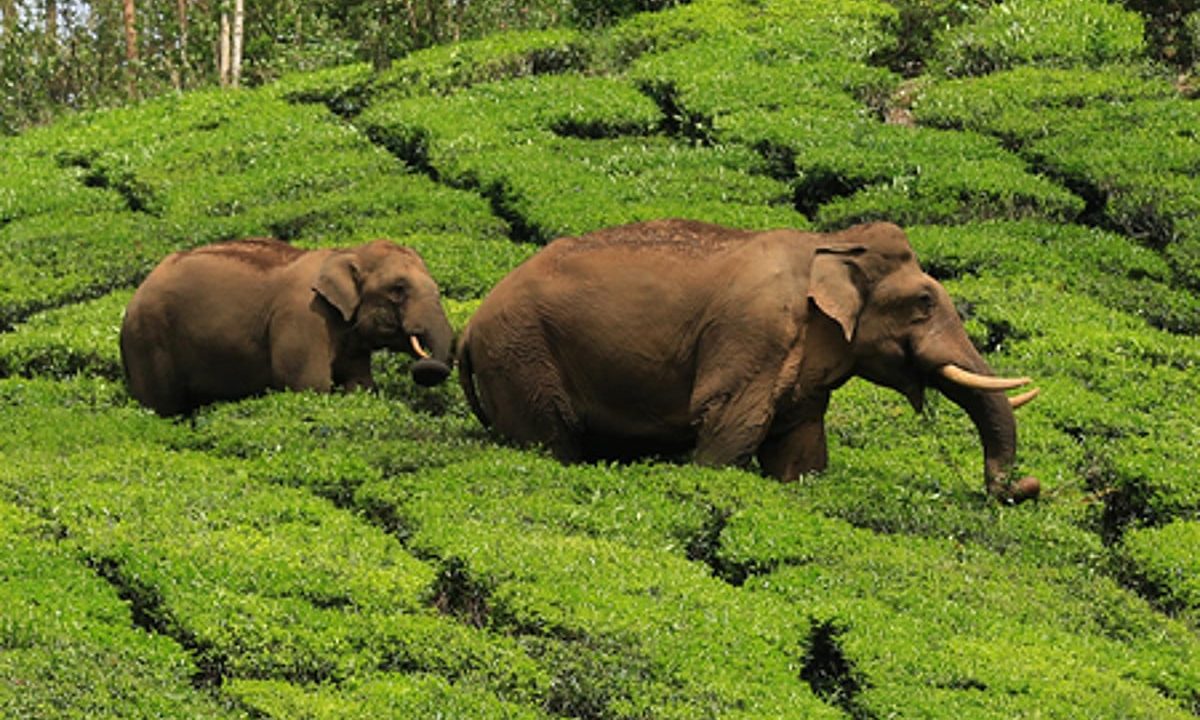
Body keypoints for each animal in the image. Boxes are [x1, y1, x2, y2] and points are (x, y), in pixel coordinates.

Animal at [121, 237, 455, 416]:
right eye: (398, 289)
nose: (422, 370)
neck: (346, 251)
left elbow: (359, 384)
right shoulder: (302, 317)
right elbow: (308, 383)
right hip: (147, 339)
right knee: (162, 405)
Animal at [458, 219, 1041, 502]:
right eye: (923, 302)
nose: (1024, 488)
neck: (828, 243)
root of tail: (467, 332)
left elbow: (800, 452)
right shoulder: (753, 333)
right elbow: (730, 426)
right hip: (521, 359)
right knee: (550, 441)